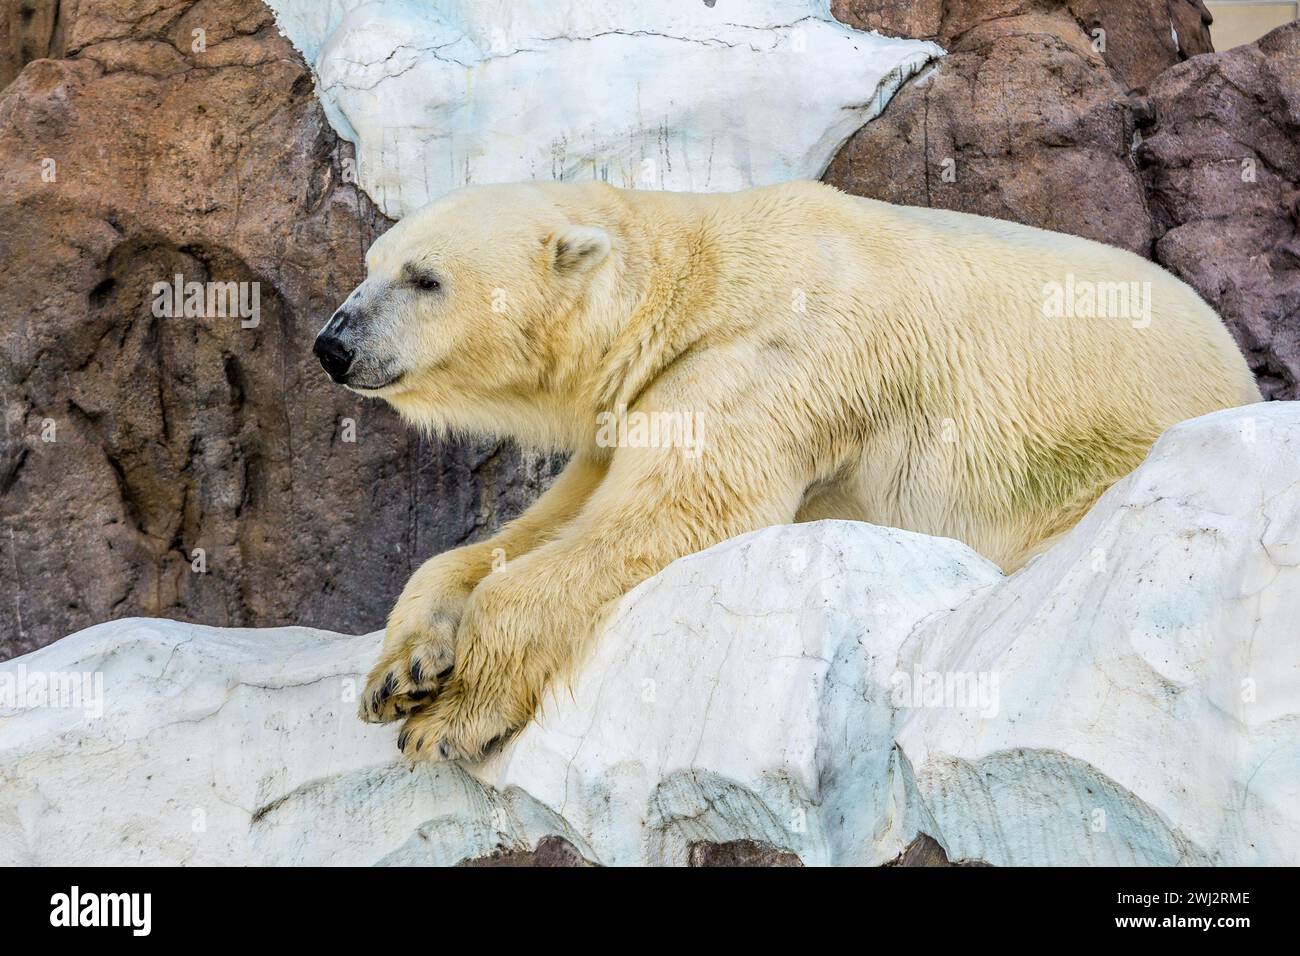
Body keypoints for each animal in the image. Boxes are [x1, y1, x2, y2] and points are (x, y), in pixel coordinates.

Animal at [314, 179, 1258, 764]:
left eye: (425, 278)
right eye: (370, 266)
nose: (333, 344)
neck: (697, 285)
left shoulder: (764, 362)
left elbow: (675, 516)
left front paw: (450, 719)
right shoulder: (633, 404)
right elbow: (544, 524)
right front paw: (402, 670)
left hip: (1088, 466)